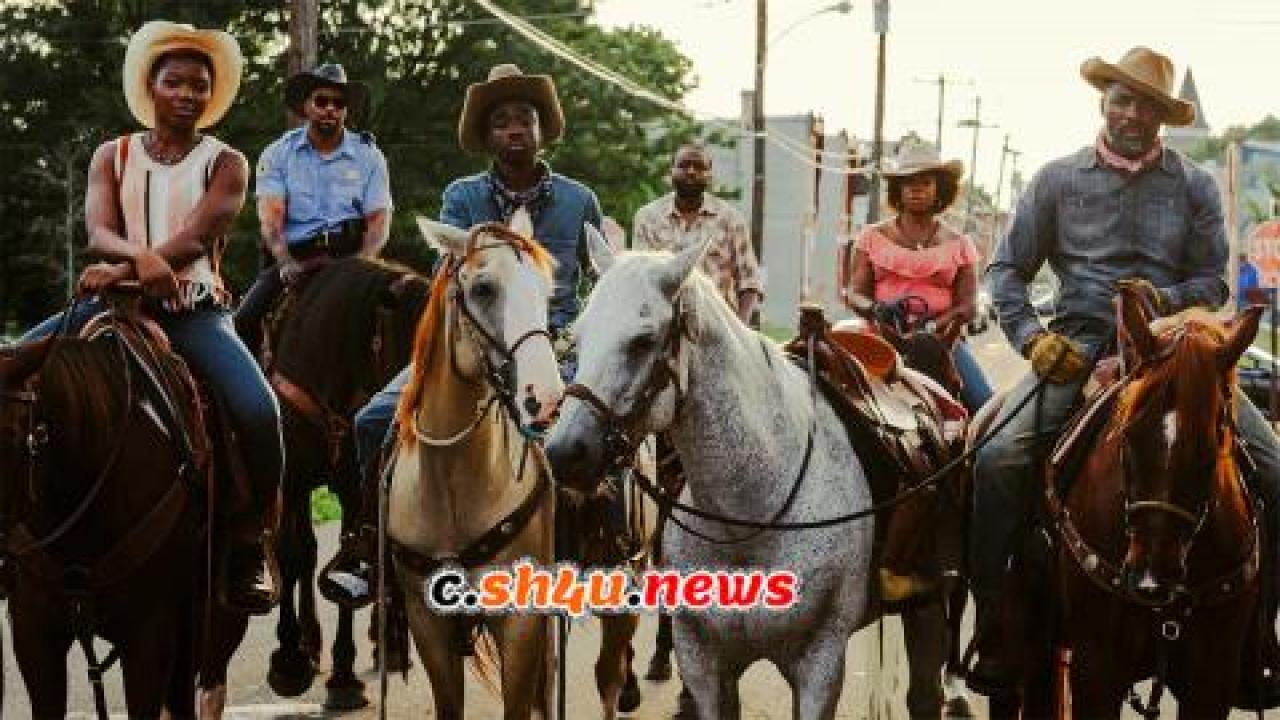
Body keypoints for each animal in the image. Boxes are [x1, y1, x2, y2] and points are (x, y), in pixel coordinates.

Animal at [386, 213, 563, 717]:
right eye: (483, 289)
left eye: (546, 292)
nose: (545, 398)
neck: (453, 482)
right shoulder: (428, 622)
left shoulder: (521, 621)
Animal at [547, 233, 952, 712]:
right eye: (578, 336)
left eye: (643, 341)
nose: (564, 452)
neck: (752, 517)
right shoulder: (704, 664)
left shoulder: (820, 668)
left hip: (929, 601)